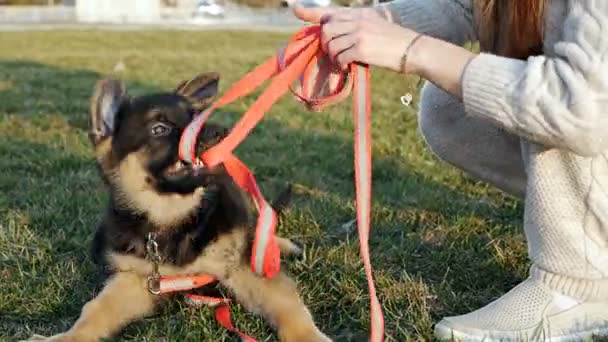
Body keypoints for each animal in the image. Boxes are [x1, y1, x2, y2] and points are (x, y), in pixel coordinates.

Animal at [23, 73, 330, 342]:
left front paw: (310, 337)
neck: (172, 216)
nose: (222, 132)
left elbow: (288, 307)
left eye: (196, 118)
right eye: (160, 129)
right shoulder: (137, 280)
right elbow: (95, 310)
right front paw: (66, 337)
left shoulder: (243, 267)